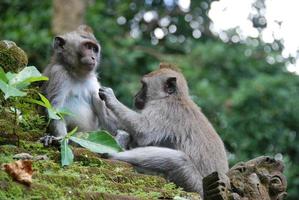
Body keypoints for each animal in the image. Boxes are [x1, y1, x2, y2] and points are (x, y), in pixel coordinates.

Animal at [96, 63, 230, 196]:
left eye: (144, 86)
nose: (136, 96)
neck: (175, 97)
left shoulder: (165, 109)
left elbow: (143, 131)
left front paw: (111, 99)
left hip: (196, 184)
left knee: (178, 160)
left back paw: (114, 154)